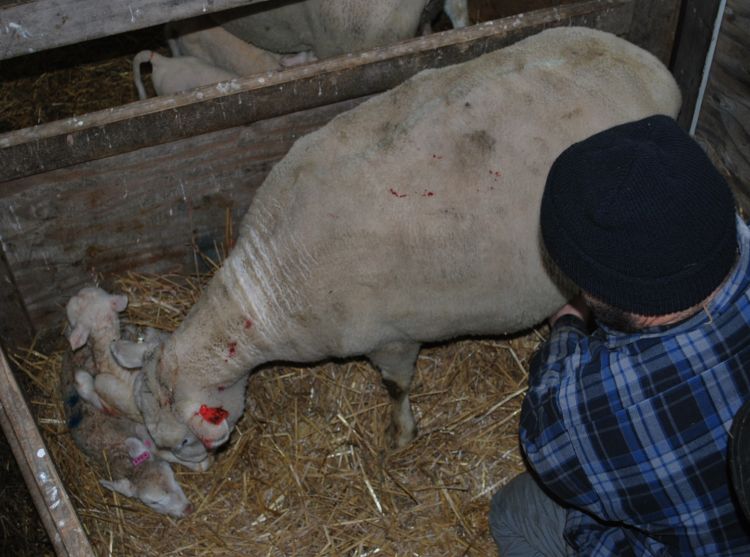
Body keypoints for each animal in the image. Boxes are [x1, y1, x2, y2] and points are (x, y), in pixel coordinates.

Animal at [114, 26, 684, 460]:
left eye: (183, 442)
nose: (193, 473)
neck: (272, 284)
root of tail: (649, 68)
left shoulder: (391, 339)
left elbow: (396, 387)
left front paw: (400, 435)